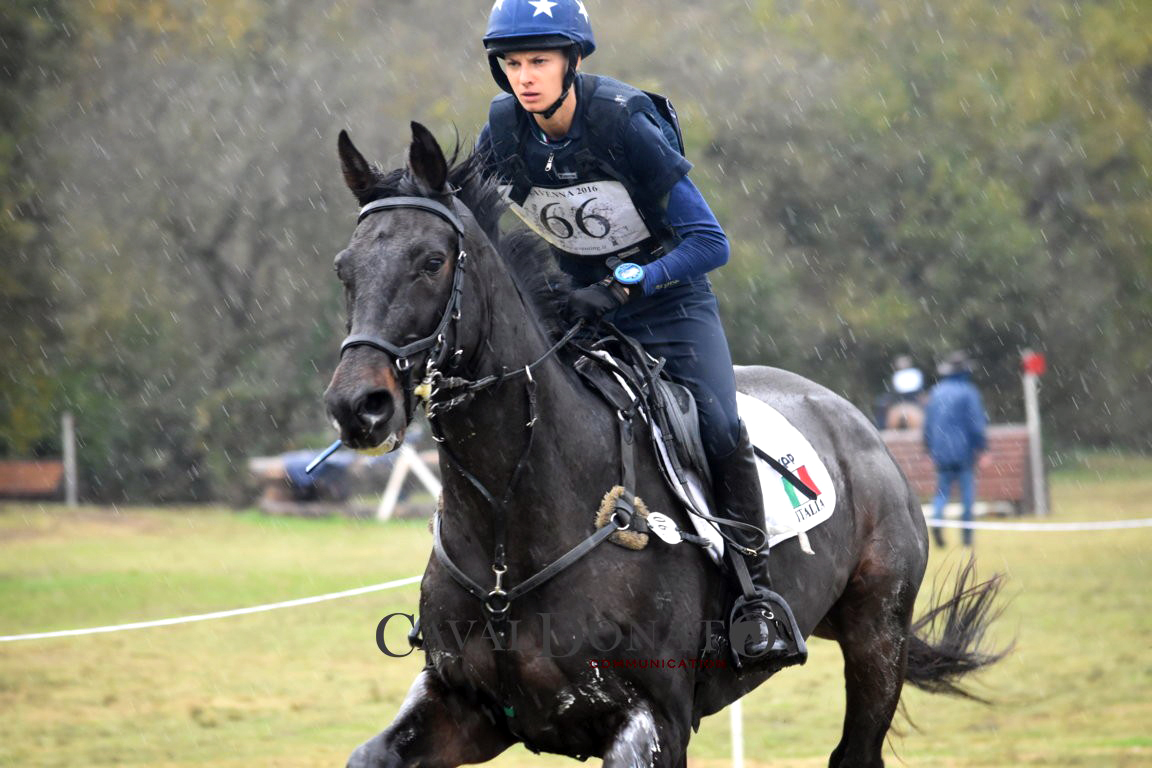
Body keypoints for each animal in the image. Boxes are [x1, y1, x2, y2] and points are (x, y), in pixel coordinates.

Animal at [323, 122, 1005, 768]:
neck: (508, 524)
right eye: (343, 270)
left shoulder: (655, 721)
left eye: (432, 261)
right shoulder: (467, 707)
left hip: (877, 636)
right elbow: (370, 754)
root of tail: (861, 425)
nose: (358, 406)